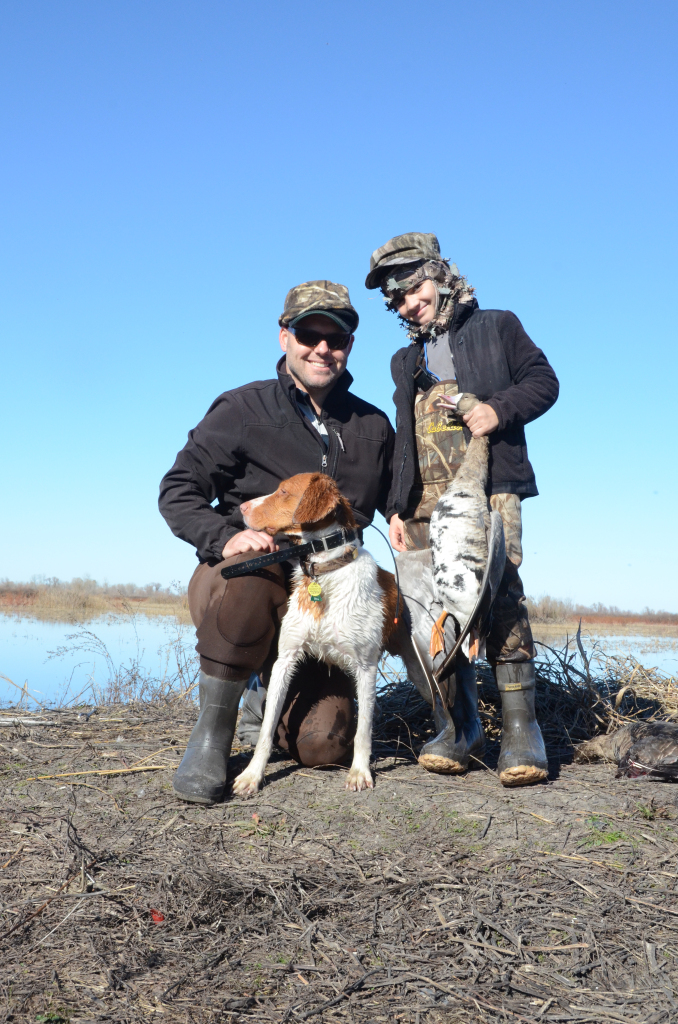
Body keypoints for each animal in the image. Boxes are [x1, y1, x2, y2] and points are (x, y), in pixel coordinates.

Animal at [233, 473, 403, 798]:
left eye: (283, 491)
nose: (241, 506)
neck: (326, 574)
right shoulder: (285, 660)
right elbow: (267, 727)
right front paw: (252, 774)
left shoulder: (366, 667)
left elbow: (363, 730)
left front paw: (359, 772)